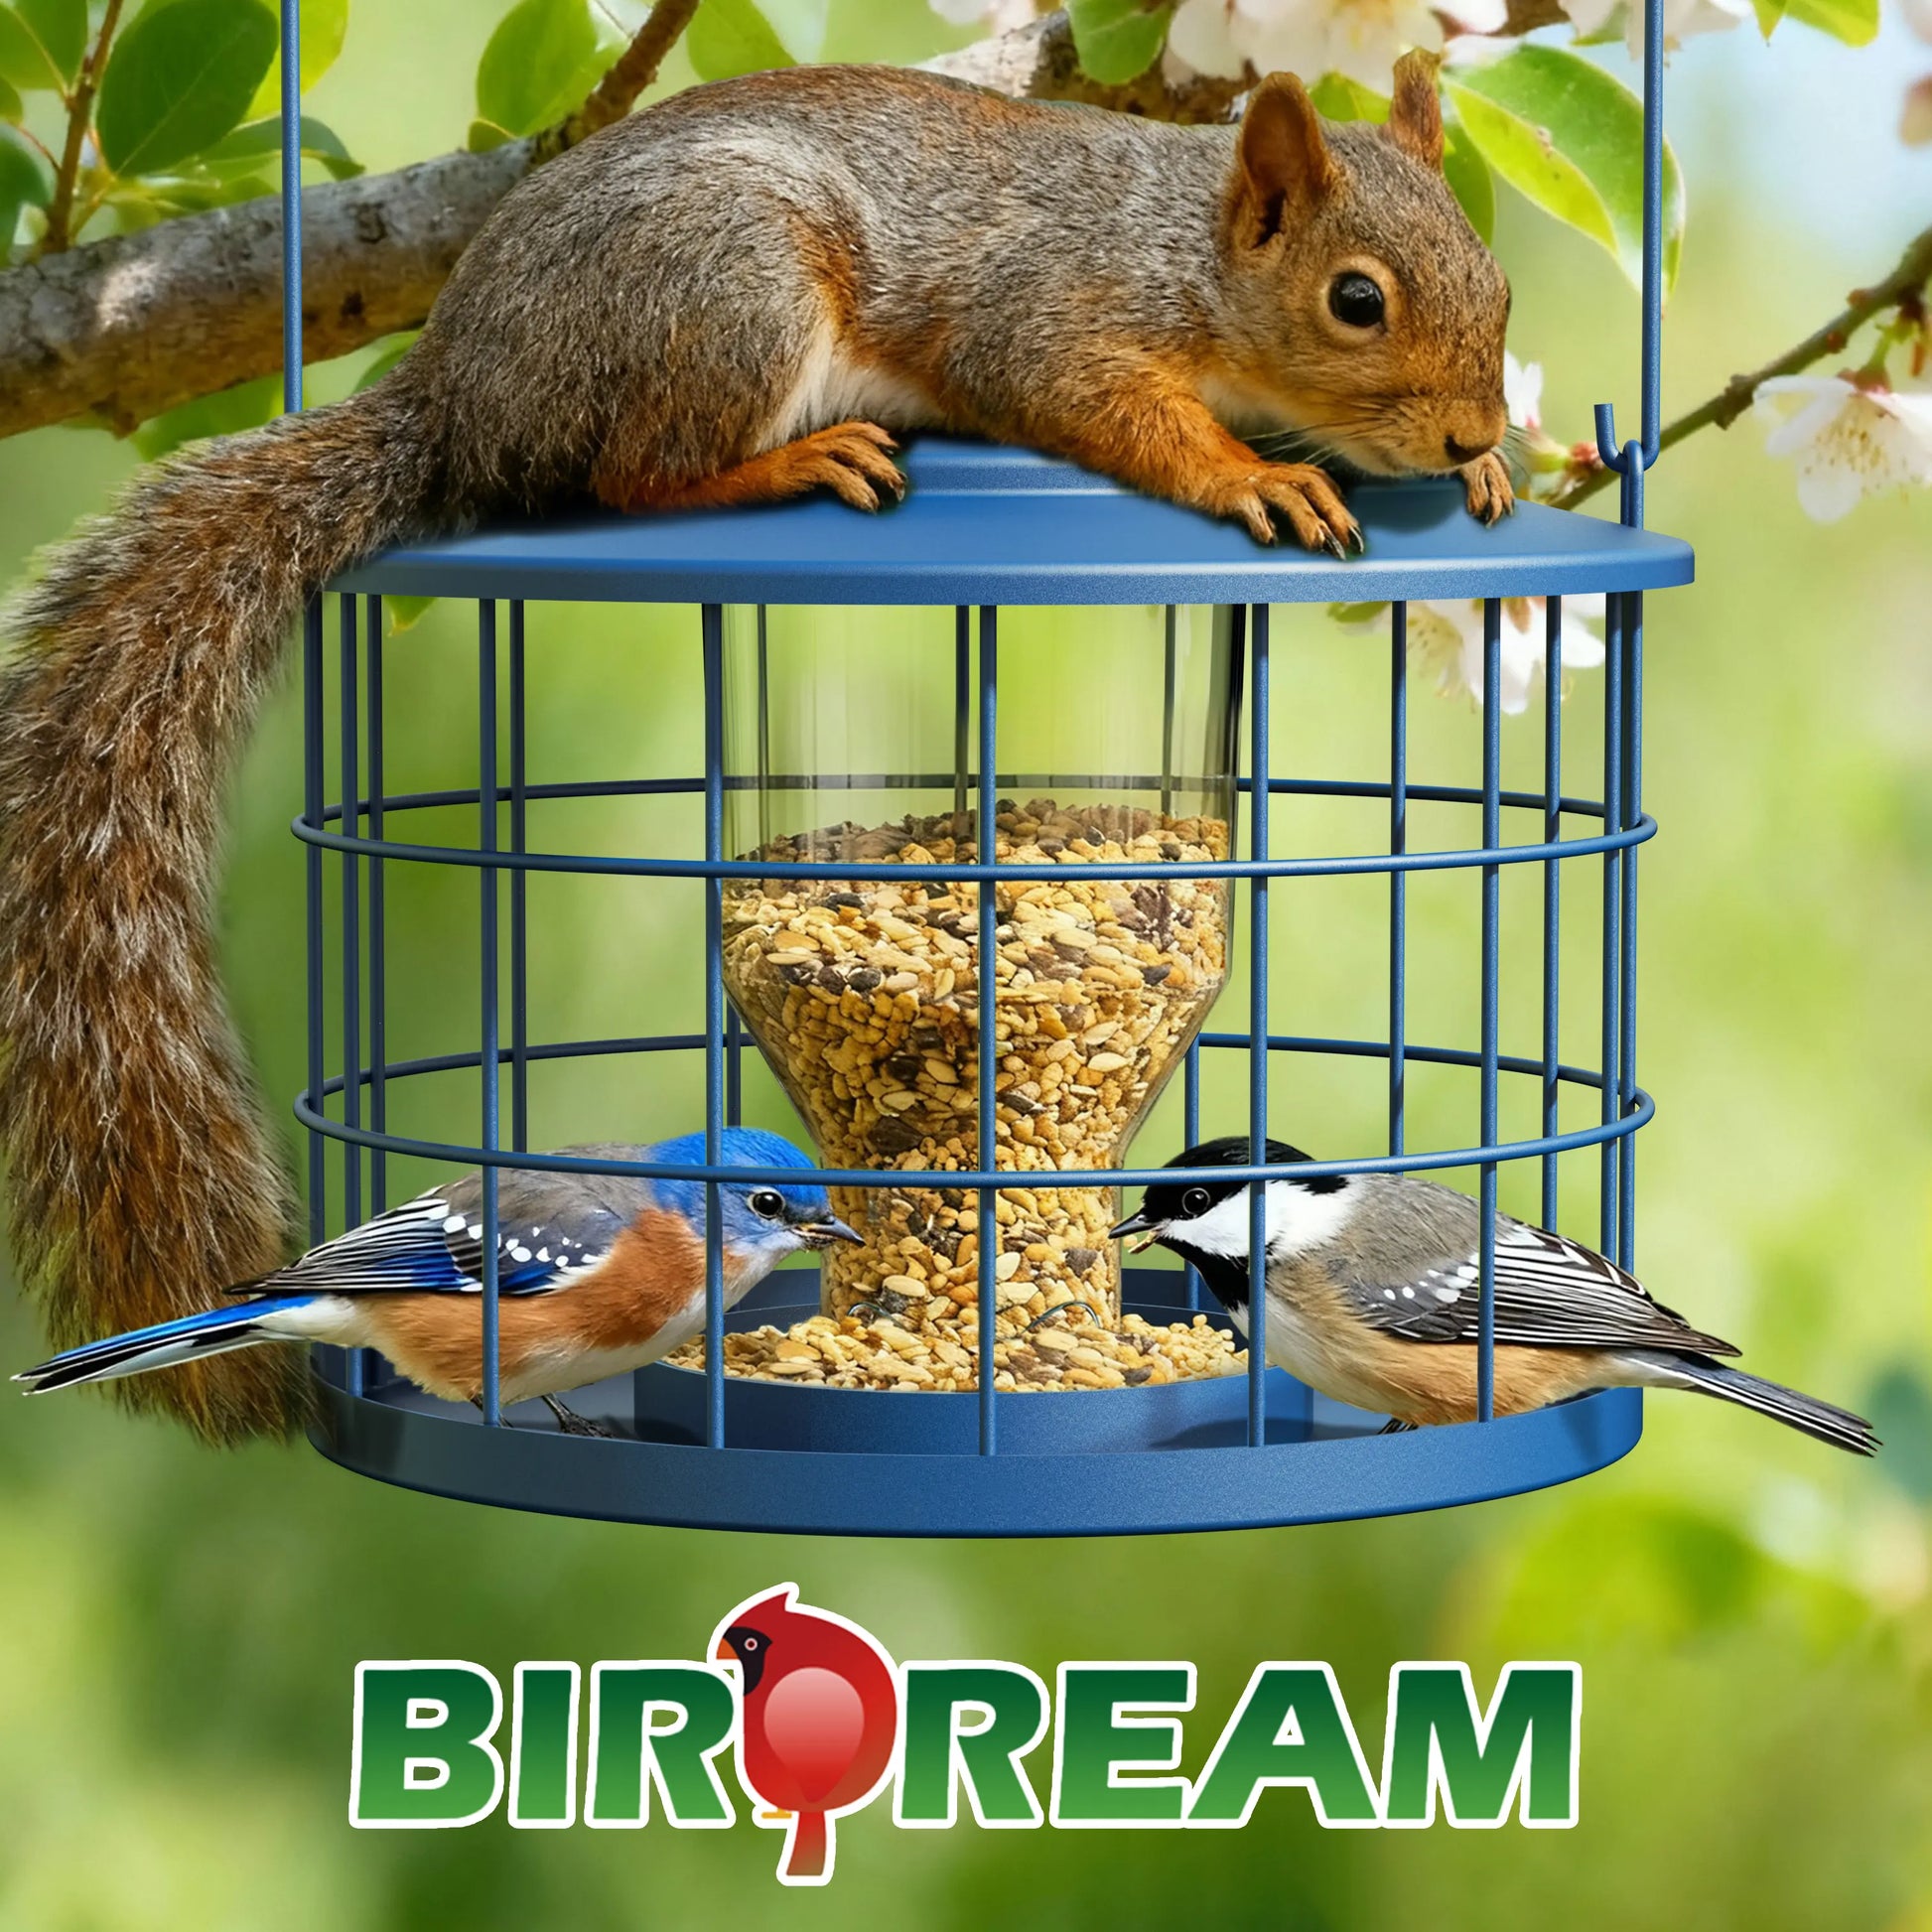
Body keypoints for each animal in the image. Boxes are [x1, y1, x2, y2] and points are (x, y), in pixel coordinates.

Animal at [0, 53, 1512, 1443]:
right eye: (1355, 299)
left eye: (1498, 284)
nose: (1470, 431)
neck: (1182, 247)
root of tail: (458, 394)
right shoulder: (1051, 318)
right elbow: (1112, 410)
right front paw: (1257, 474)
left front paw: (1489, 473)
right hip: (730, 288)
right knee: (631, 475)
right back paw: (798, 461)